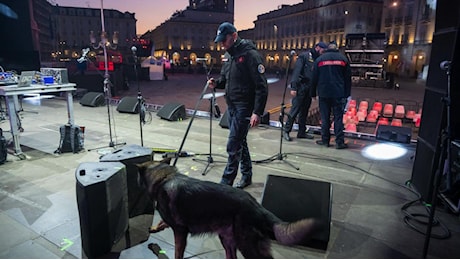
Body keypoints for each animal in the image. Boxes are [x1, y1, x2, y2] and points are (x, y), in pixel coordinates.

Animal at [137, 158, 320, 258]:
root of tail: (257, 206)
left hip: (247, 246)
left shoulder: (181, 232)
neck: (164, 178)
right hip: (227, 239)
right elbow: (162, 222)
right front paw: (155, 228)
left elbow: (177, 252)